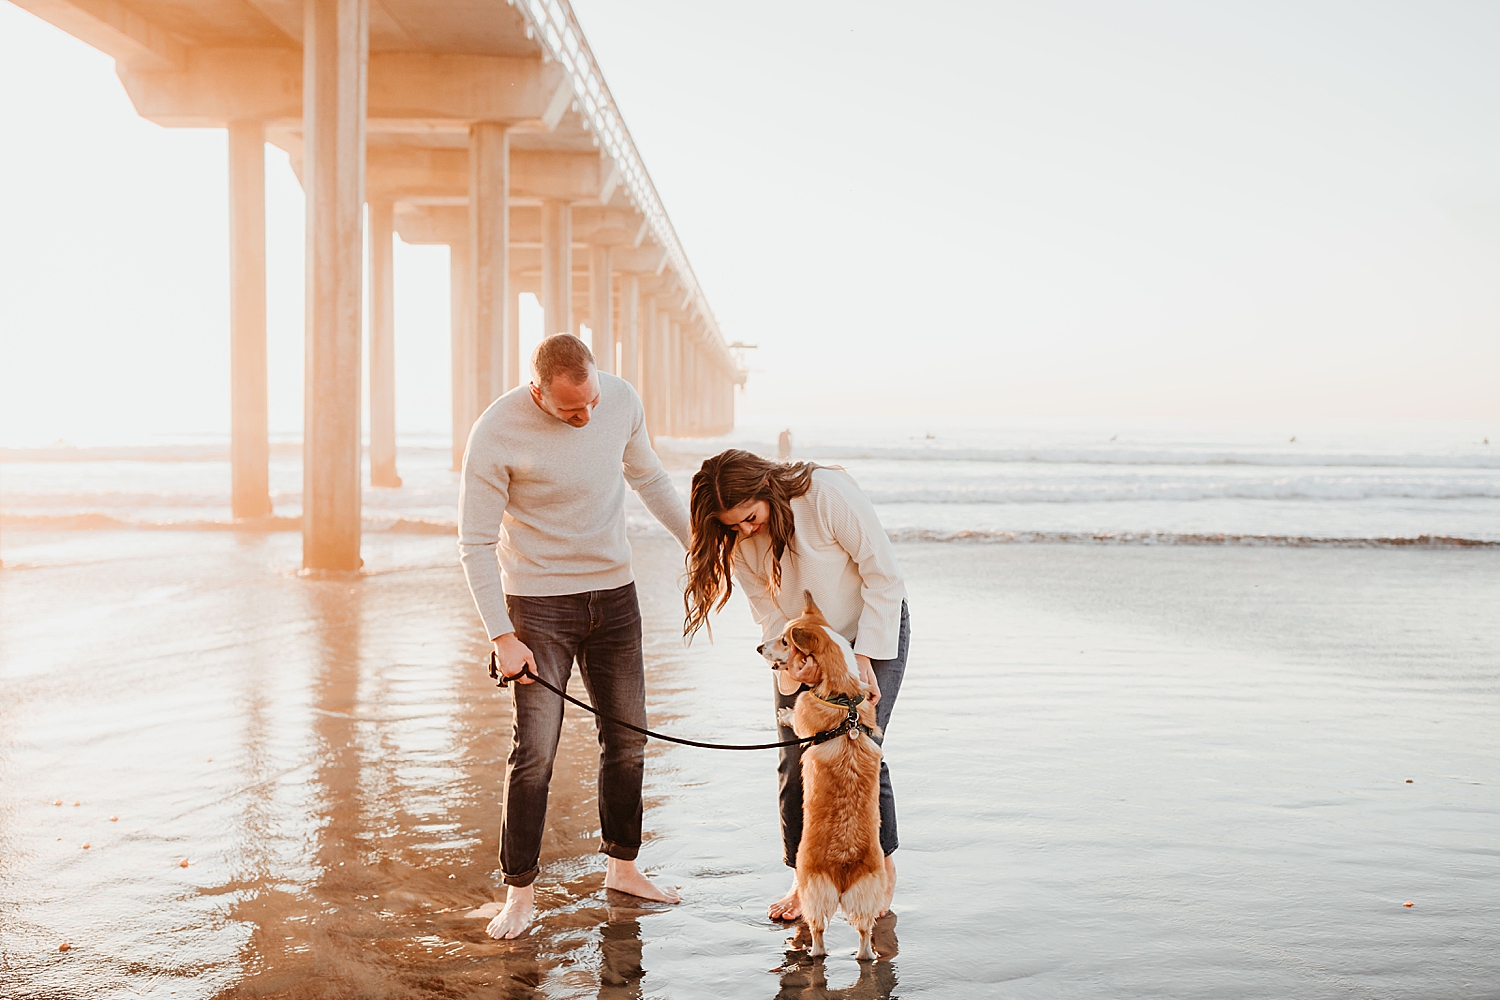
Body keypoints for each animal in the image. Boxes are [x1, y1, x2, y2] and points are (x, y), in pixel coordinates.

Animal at [762, 593, 888, 959]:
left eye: (784, 641)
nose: (759, 647)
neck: (843, 696)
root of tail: (843, 867)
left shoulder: (806, 711)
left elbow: (797, 716)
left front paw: (785, 712)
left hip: (813, 891)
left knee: (818, 935)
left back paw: (811, 952)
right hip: (866, 896)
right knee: (864, 935)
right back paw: (867, 954)